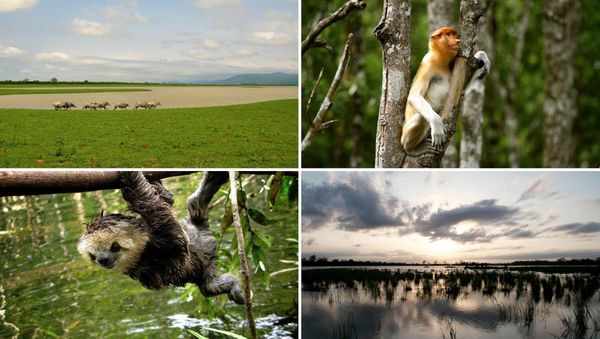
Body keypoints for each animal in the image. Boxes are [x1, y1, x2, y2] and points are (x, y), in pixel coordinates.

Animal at [400, 27, 490, 155]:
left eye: (454, 34)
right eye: (448, 35)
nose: (457, 40)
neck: (441, 60)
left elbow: (461, 86)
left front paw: (483, 57)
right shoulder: (428, 63)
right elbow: (414, 96)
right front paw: (437, 124)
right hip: (405, 133)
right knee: (421, 118)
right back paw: (412, 149)